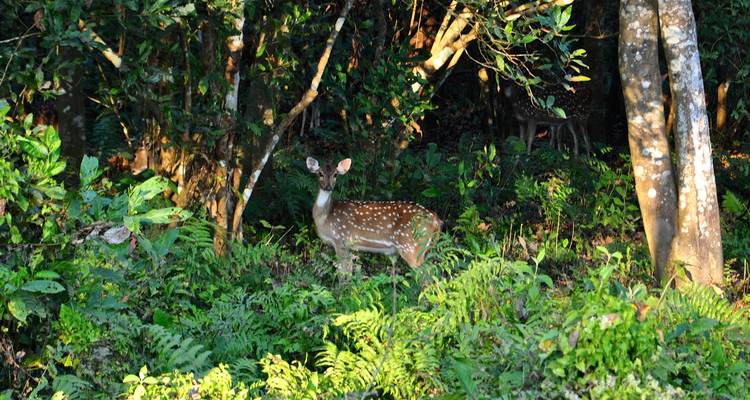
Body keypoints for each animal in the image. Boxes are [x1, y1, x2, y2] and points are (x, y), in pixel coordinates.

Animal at [306, 157, 442, 280]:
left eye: (335, 174)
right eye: (320, 173)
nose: (328, 187)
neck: (325, 217)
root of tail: (436, 220)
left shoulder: (341, 239)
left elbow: (342, 273)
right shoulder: (349, 246)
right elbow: (348, 271)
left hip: (412, 247)